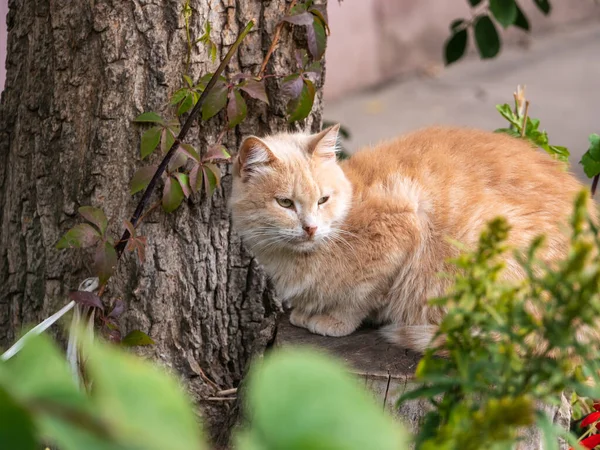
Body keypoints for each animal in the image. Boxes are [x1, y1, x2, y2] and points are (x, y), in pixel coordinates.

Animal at [231, 125, 592, 354]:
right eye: (285, 203)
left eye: (323, 200)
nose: (310, 228)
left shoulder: (404, 229)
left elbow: (360, 297)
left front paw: (332, 320)